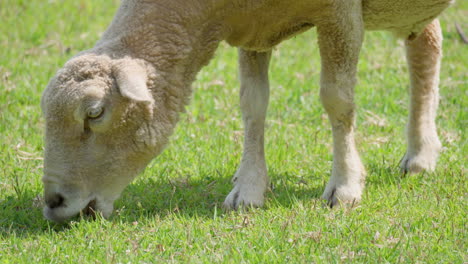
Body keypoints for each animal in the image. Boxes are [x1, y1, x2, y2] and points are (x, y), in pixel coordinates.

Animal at [42, 0, 452, 222]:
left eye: (94, 113)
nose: (53, 203)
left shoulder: (340, 14)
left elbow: (337, 100)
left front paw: (345, 185)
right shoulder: (255, 27)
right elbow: (252, 105)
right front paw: (249, 189)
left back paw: (419, 155)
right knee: (427, 44)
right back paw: (421, 152)